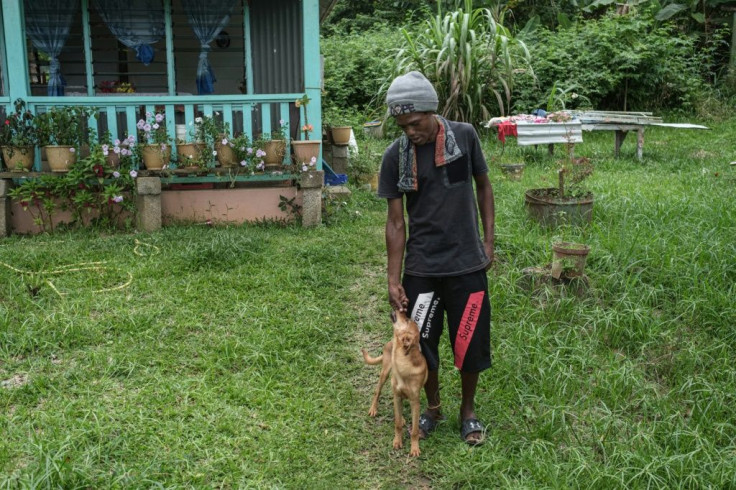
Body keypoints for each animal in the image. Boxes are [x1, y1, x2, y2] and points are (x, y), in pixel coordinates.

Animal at [364, 310, 432, 456]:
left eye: (407, 320)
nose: (400, 310)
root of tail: (390, 341)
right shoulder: (397, 394)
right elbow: (397, 424)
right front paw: (397, 441)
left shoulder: (415, 402)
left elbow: (415, 430)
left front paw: (414, 448)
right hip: (385, 373)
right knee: (377, 391)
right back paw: (373, 409)